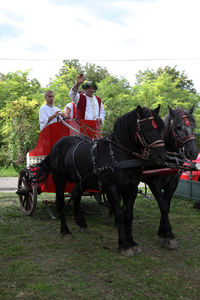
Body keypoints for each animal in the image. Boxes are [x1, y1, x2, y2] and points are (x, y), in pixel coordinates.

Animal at [33, 105, 166, 255]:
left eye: (160, 129)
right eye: (147, 129)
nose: (162, 156)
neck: (120, 154)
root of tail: (55, 147)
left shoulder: (131, 189)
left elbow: (128, 215)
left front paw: (132, 242)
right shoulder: (112, 189)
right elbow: (119, 215)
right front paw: (124, 245)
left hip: (80, 181)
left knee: (76, 197)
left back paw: (82, 223)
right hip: (59, 179)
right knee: (60, 203)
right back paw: (65, 231)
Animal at [143, 105, 198, 248]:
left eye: (193, 125)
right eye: (178, 127)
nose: (193, 152)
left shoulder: (173, 182)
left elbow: (167, 204)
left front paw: (165, 233)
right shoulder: (153, 182)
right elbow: (163, 205)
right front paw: (167, 233)